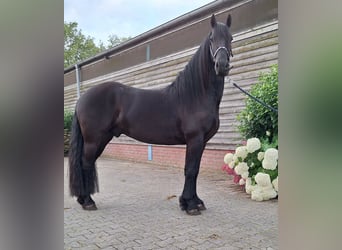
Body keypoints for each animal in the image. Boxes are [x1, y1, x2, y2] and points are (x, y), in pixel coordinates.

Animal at [70, 13, 235, 215]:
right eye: (212, 39)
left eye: (230, 38)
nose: (222, 65)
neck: (195, 94)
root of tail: (82, 99)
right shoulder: (194, 139)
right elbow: (190, 170)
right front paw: (189, 205)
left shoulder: (202, 141)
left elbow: (195, 170)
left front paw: (194, 202)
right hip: (94, 139)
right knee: (86, 164)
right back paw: (88, 201)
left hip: (102, 138)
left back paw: (82, 199)